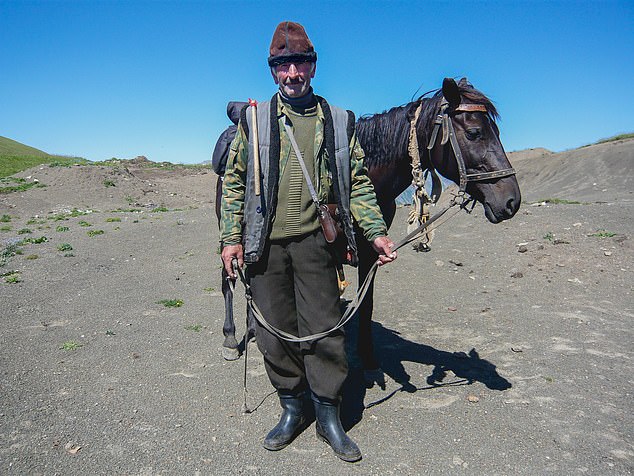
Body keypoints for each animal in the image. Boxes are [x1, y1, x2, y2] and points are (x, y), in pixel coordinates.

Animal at [215, 79, 520, 368]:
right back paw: (230, 338)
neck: (370, 176)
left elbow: (366, 302)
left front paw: (367, 354)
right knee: (229, 279)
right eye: (474, 133)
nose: (511, 201)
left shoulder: (369, 252)